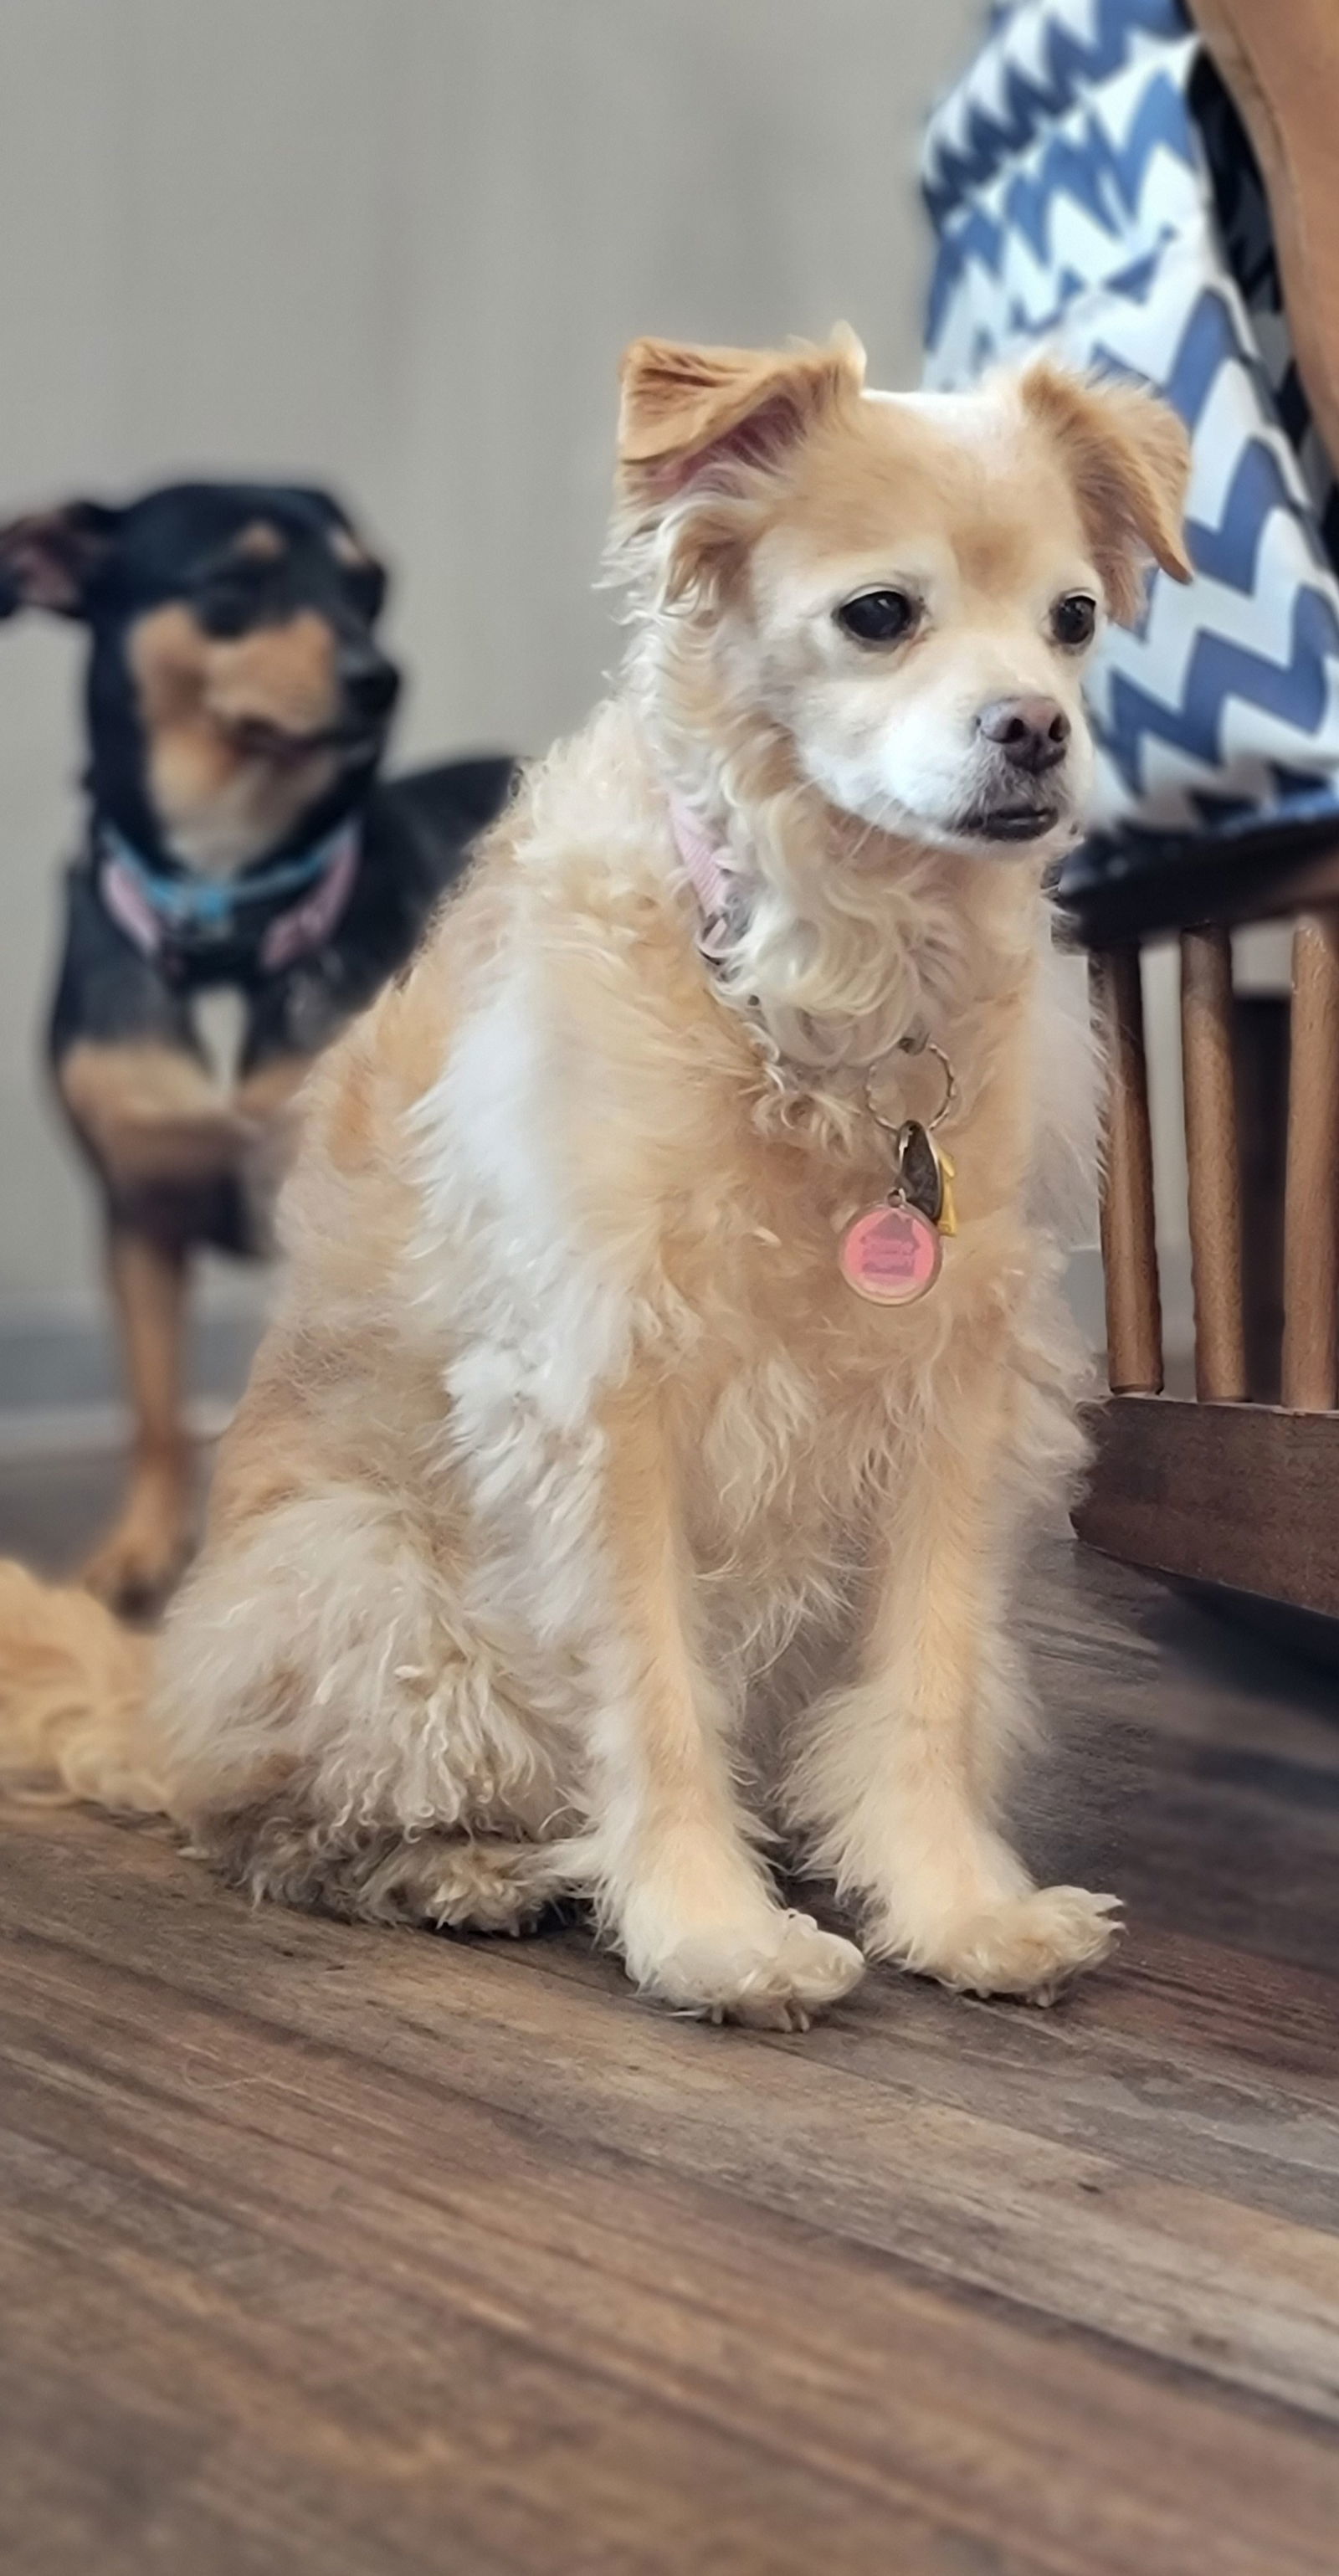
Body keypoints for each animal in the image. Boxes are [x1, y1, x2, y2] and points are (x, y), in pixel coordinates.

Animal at [0, 489, 512, 1597]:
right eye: (235, 582)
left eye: (369, 587)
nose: (378, 678)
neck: (227, 923)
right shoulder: (138, 1213)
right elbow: (153, 1402)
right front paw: (144, 1544)